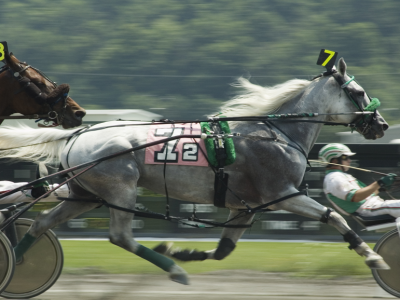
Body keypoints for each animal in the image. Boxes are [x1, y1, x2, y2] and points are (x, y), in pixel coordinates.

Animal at [0, 58, 390, 284]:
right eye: (358, 92)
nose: (382, 124)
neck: (275, 133)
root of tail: (77, 135)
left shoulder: (245, 207)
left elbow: (223, 250)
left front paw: (181, 251)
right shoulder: (283, 195)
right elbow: (334, 217)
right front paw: (372, 256)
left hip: (86, 195)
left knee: (41, 222)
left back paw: (18, 263)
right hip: (119, 190)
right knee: (120, 236)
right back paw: (174, 271)